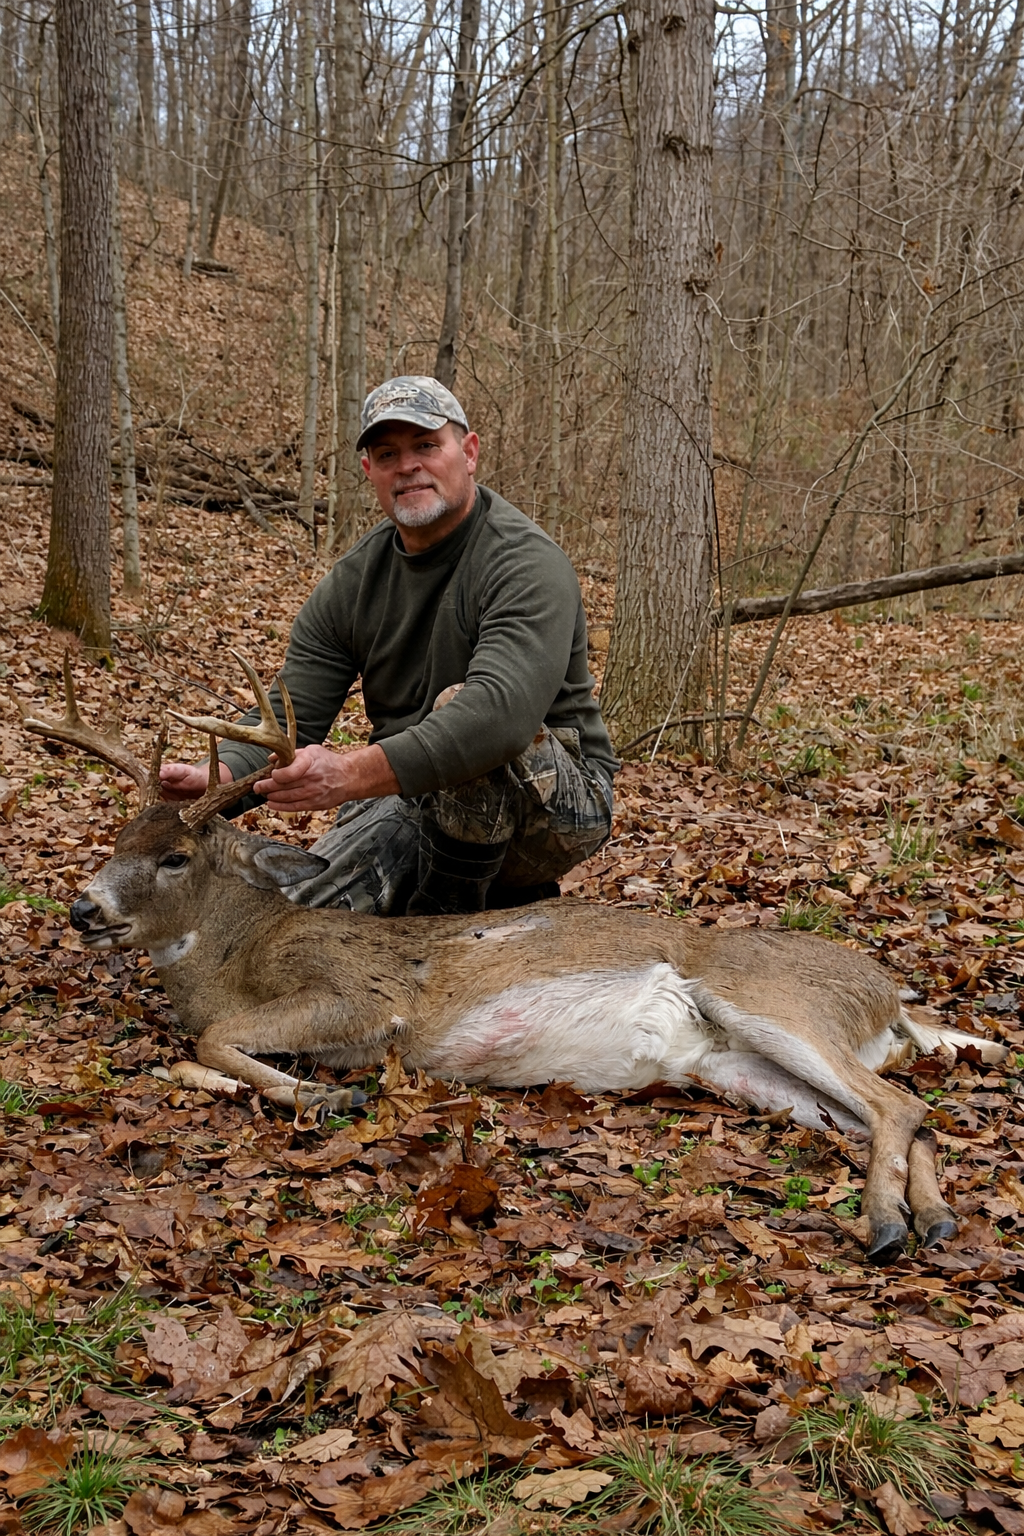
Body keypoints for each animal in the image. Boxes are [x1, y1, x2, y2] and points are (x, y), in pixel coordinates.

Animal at [17, 654, 1008, 1263]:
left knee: (901, 1102)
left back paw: (885, 1225)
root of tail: (893, 998)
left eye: (174, 857)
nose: (82, 908)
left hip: (768, 1002)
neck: (237, 953)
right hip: (738, 1067)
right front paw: (305, 1090)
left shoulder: (362, 997)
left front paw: (326, 1095)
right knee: (897, 1116)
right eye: (114, 841)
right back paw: (929, 1219)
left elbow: (211, 1040)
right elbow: (198, 1051)